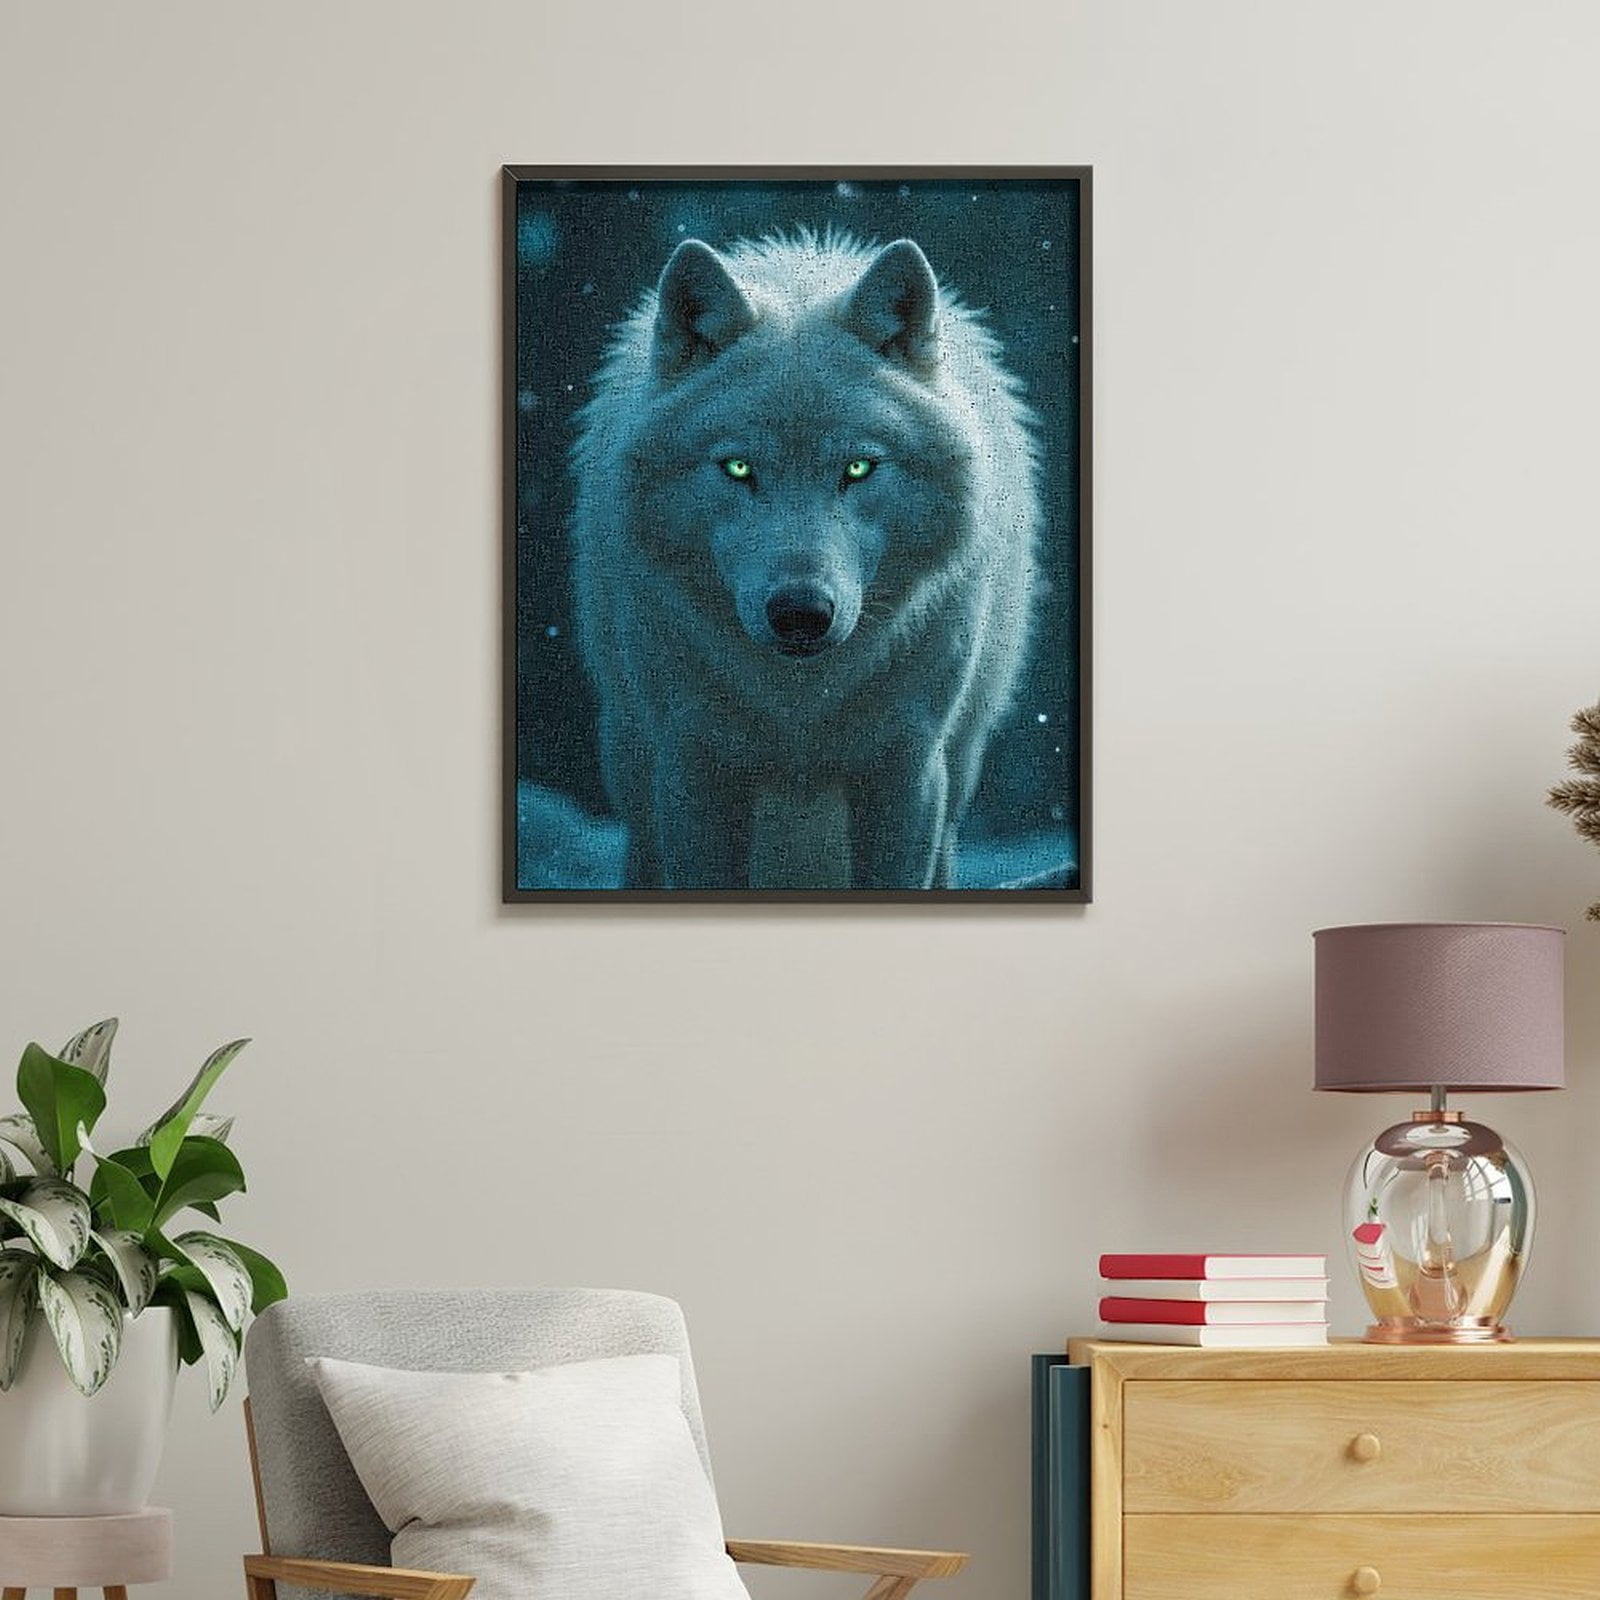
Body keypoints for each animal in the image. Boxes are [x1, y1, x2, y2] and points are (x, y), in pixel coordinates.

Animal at [570, 230, 1041, 890]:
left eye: (858, 467)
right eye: (738, 467)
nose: (800, 614)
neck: (799, 704)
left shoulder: (907, 768)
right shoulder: (692, 766)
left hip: (961, 765)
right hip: (631, 764)